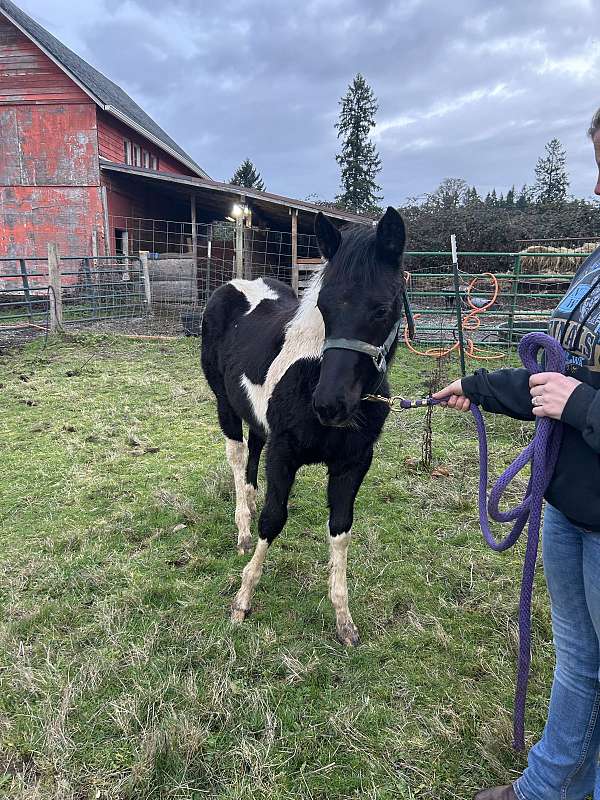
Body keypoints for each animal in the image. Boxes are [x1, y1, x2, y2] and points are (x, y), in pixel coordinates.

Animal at [200, 206, 408, 645]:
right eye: (324, 308)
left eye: (383, 309)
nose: (330, 405)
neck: (313, 370)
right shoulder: (284, 454)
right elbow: (273, 519)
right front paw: (242, 600)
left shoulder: (353, 463)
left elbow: (341, 528)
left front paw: (344, 621)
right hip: (224, 403)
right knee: (237, 453)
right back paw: (242, 528)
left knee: (253, 447)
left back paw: (250, 497)